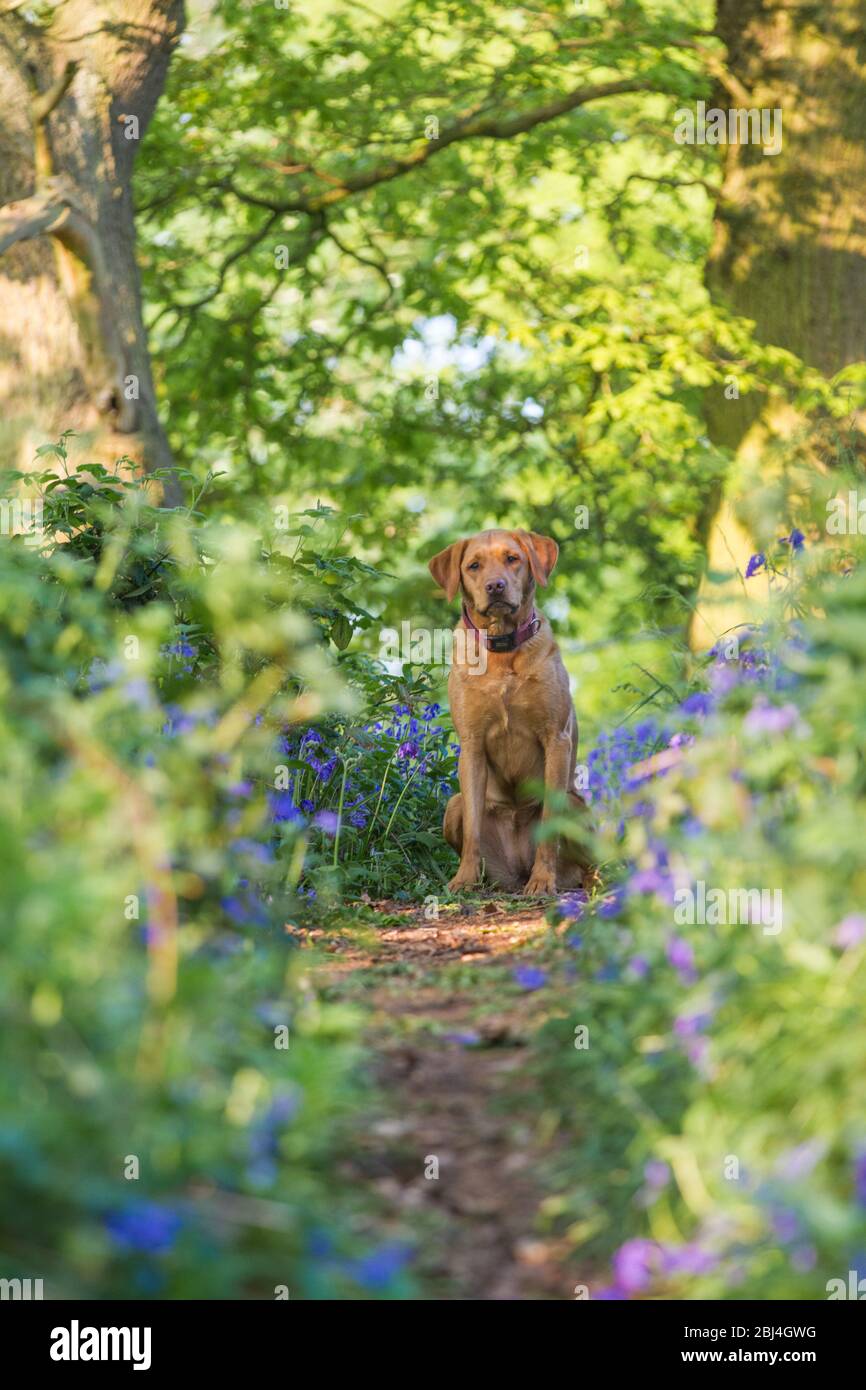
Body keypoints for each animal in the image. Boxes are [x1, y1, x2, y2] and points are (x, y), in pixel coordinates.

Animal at [428, 525, 592, 895]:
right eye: (474, 565)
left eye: (512, 558)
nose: (495, 586)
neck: (502, 649)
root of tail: (516, 870)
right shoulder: (471, 744)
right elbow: (473, 829)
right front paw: (463, 879)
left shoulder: (556, 739)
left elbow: (549, 824)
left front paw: (543, 880)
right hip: (452, 806)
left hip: (576, 806)